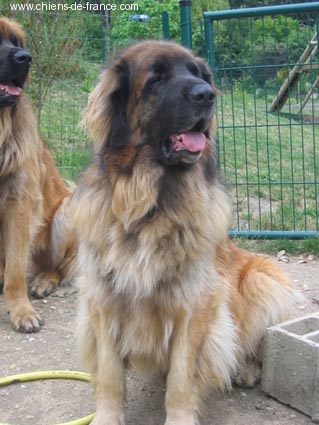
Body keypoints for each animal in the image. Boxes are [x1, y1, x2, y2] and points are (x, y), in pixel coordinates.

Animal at [70, 40, 298, 424]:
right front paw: (107, 416)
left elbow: (181, 377)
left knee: (255, 344)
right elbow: (110, 375)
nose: (208, 95)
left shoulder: (194, 305)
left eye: (198, 73)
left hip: (262, 280)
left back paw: (247, 370)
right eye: (156, 78)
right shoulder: (102, 299)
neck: (150, 205)